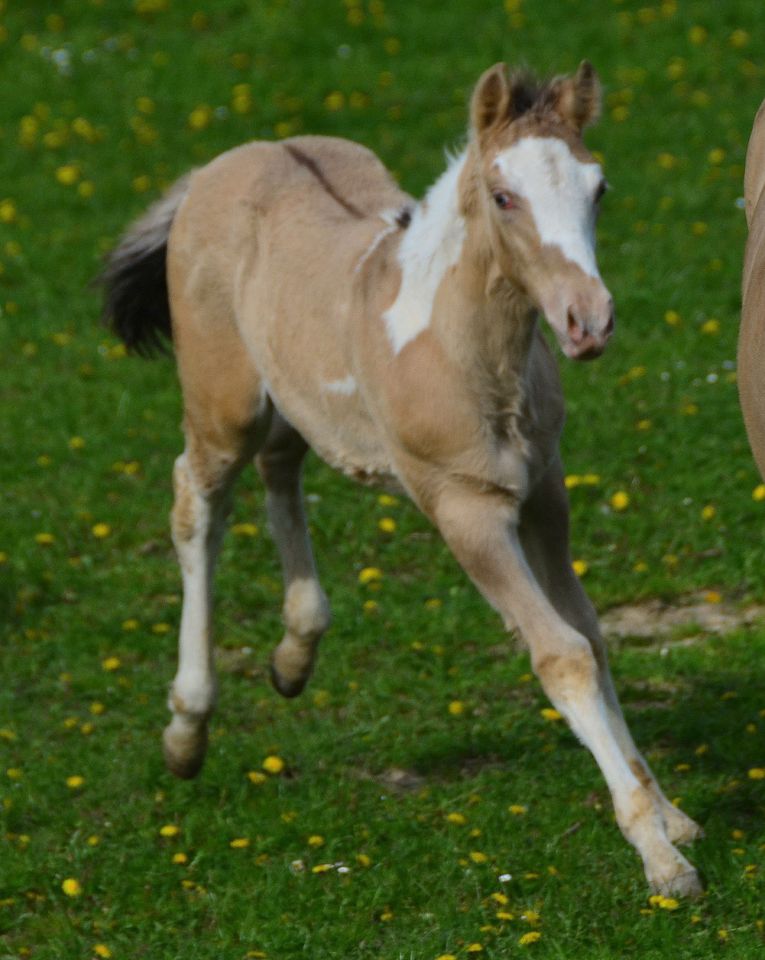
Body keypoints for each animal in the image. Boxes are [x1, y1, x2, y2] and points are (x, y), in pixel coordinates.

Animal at [103, 63, 704, 896]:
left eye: (599, 186)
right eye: (503, 196)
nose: (587, 321)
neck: (463, 349)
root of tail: (224, 163)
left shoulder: (544, 493)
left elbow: (589, 633)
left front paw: (668, 813)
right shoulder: (466, 511)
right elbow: (560, 653)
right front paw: (658, 853)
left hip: (294, 398)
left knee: (281, 465)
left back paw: (295, 653)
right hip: (223, 403)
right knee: (198, 501)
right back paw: (188, 728)